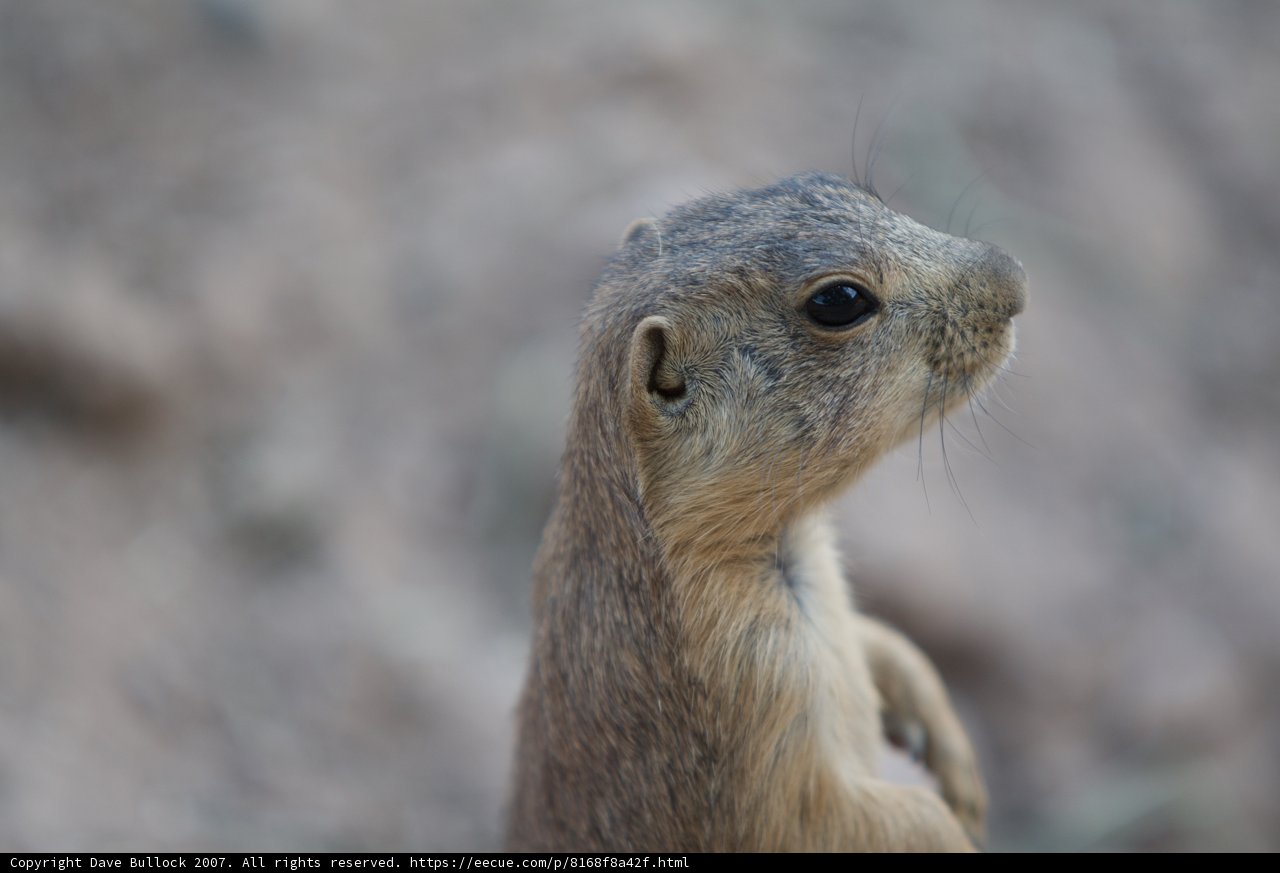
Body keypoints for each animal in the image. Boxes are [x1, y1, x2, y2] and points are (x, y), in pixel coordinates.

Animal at [506, 171, 1027, 851]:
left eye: (845, 187)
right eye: (839, 300)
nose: (1015, 277)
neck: (787, 540)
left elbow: (883, 641)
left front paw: (953, 761)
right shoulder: (749, 693)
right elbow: (835, 817)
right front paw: (952, 821)